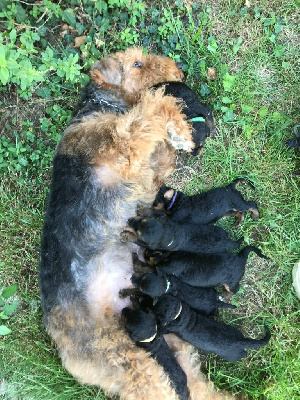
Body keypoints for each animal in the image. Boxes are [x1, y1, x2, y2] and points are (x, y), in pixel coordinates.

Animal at [39, 47, 232, 400]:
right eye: (137, 63)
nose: (178, 68)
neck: (103, 106)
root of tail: (66, 354)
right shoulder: (122, 144)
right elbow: (153, 105)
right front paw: (180, 127)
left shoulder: (149, 165)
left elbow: (159, 137)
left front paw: (181, 133)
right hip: (132, 358)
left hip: (170, 339)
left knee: (194, 385)